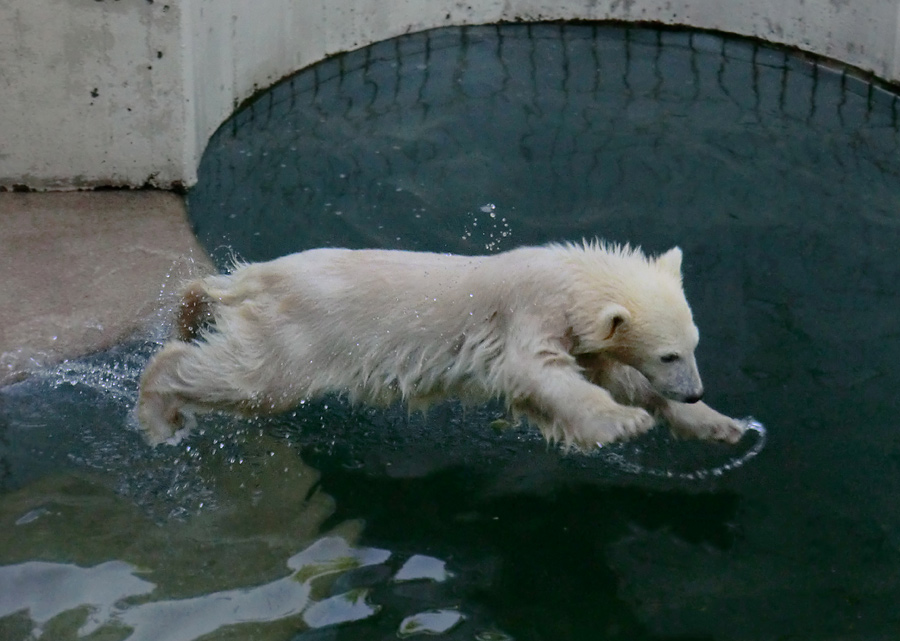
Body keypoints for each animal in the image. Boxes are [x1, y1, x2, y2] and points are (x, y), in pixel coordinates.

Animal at [139, 241, 744, 450]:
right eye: (669, 354)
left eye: (693, 345)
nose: (694, 390)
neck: (572, 276)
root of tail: (257, 277)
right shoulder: (530, 312)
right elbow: (537, 373)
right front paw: (622, 424)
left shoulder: (582, 337)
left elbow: (613, 374)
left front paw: (721, 425)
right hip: (300, 333)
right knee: (253, 381)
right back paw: (160, 414)